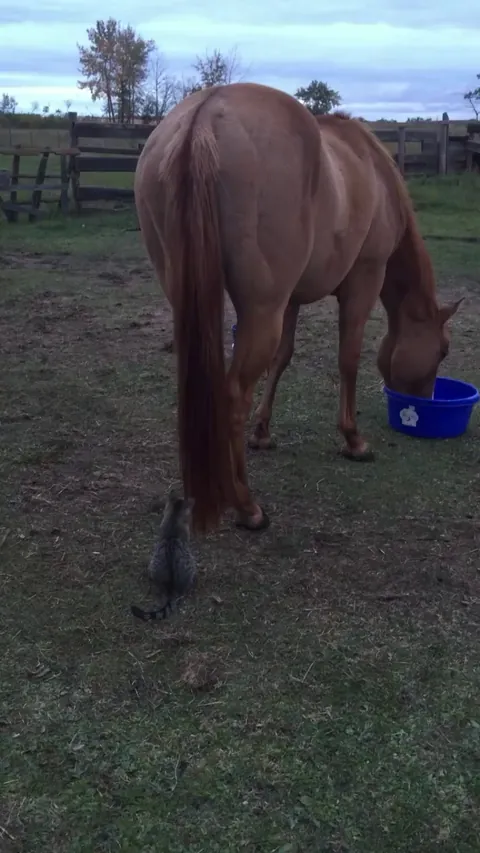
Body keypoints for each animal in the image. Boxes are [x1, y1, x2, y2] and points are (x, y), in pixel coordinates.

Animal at [134, 82, 461, 534]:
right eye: (443, 350)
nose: (424, 400)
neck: (373, 174)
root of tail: (205, 117)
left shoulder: (289, 300)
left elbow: (282, 359)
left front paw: (262, 432)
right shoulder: (364, 280)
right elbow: (348, 359)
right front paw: (353, 440)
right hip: (260, 310)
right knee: (233, 395)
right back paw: (247, 507)